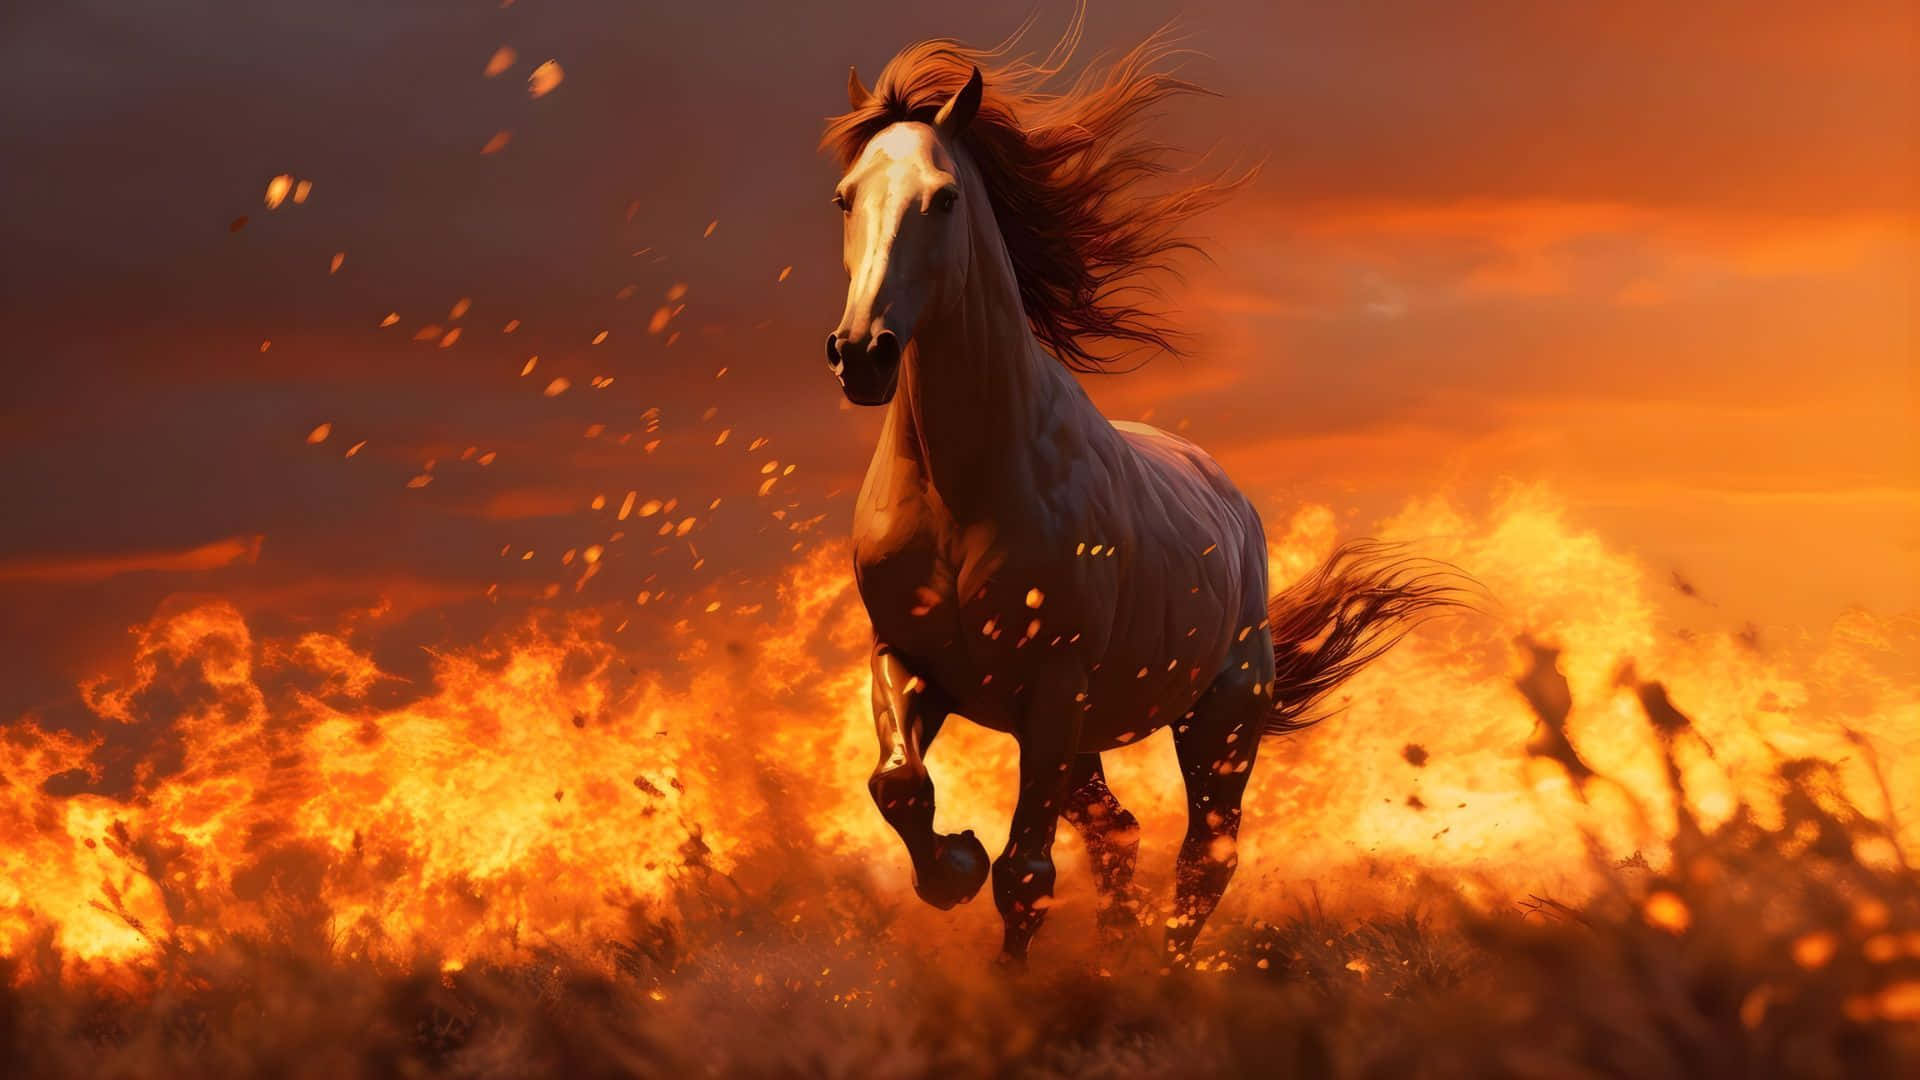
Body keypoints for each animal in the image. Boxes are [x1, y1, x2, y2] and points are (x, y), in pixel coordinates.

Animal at [820, 29, 1457, 967]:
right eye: (845, 198)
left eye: (942, 198)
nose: (862, 352)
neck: (965, 489)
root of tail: (1230, 500)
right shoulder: (911, 661)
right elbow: (899, 783)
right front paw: (954, 866)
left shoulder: (1054, 685)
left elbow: (1026, 872)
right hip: (1085, 732)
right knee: (1118, 833)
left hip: (1215, 721)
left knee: (1207, 852)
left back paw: (1163, 971)